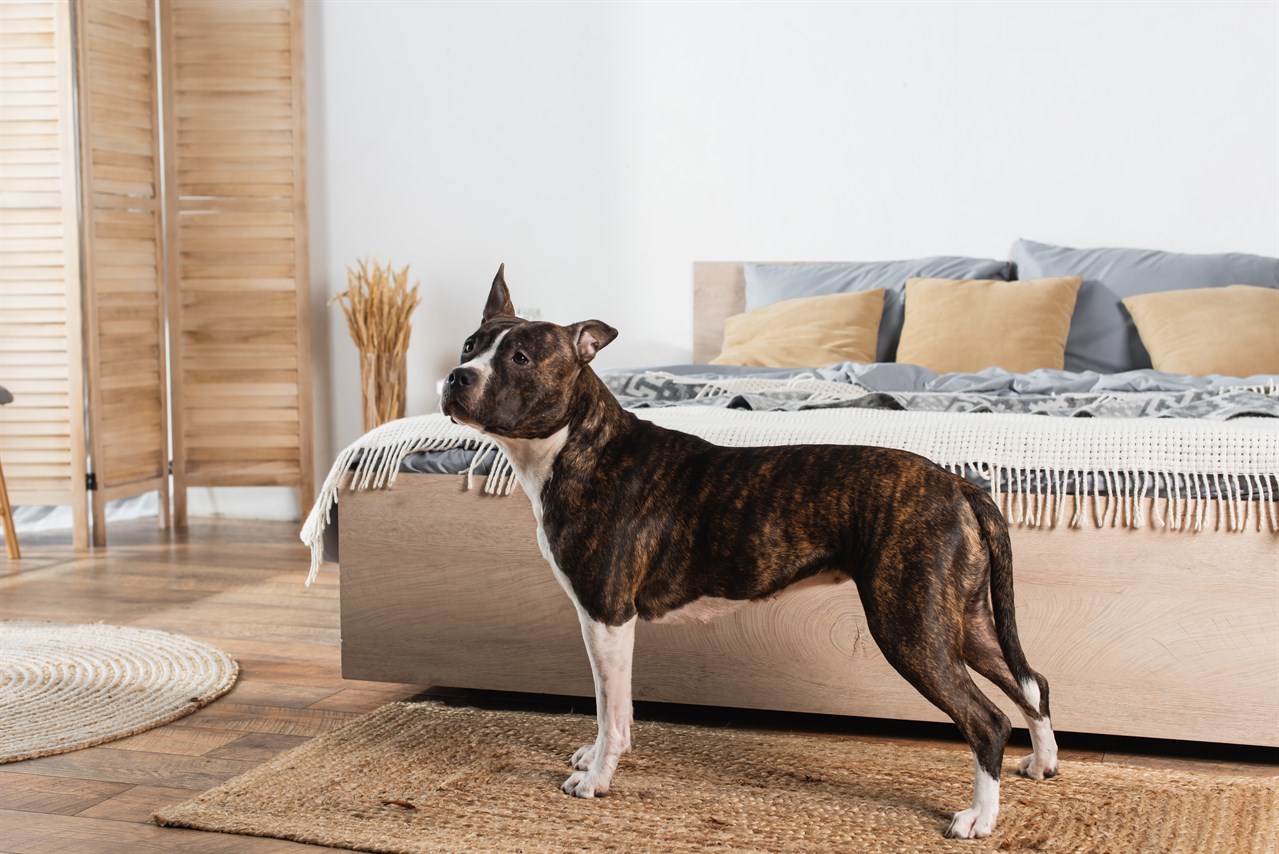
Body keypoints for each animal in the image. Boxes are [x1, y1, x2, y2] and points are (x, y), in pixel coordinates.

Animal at [439, 267, 1059, 838]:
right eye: (471, 345)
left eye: (520, 357)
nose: (455, 376)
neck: (578, 444)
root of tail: (958, 484)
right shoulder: (606, 624)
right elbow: (611, 706)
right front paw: (595, 758)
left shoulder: (606, 617)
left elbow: (609, 711)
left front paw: (596, 779)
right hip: (964, 622)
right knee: (1031, 683)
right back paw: (1043, 762)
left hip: (911, 629)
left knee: (987, 720)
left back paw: (979, 817)